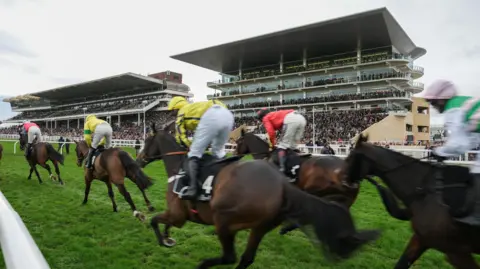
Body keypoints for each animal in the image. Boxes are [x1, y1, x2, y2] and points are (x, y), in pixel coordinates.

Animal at [136, 123, 378, 268]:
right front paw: (167, 237)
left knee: (231, 256)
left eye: (146, 142)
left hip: (226, 220)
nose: (139, 159)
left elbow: (156, 220)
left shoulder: (179, 214)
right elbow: (161, 222)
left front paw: (164, 240)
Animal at [344, 132, 480, 268]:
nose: (343, 179)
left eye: (350, 157)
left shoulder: (455, 251)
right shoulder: (421, 239)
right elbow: (402, 263)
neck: (424, 190)